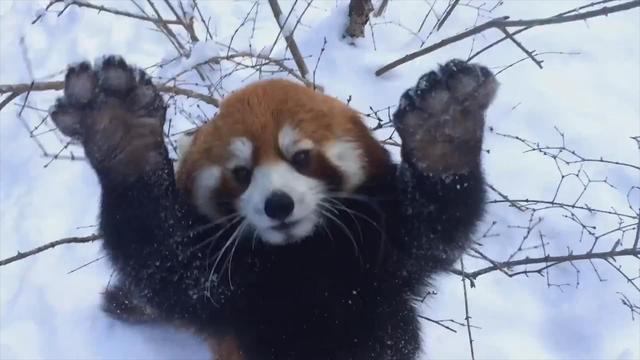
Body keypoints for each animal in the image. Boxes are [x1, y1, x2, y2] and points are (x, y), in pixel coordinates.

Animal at [52, 56, 498, 360]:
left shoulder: (380, 256)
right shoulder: (227, 291)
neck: (299, 258)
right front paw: (121, 134)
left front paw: (443, 131)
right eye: (241, 173)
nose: (277, 205)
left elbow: (434, 229)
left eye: (301, 157)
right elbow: (161, 255)